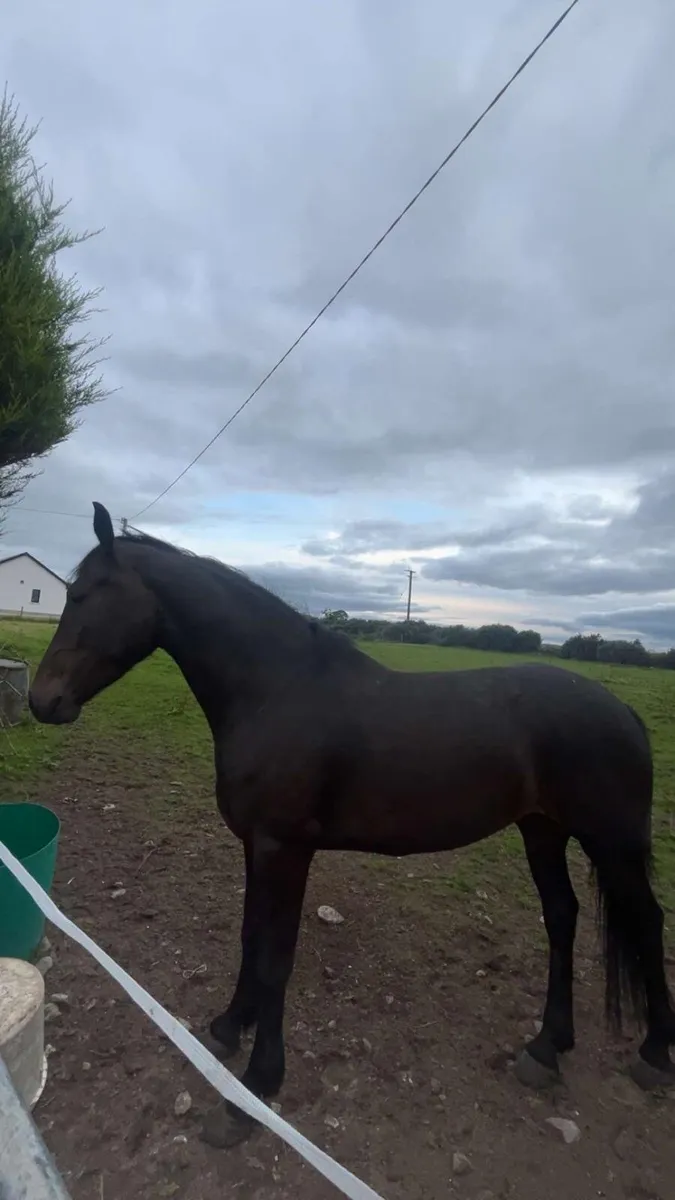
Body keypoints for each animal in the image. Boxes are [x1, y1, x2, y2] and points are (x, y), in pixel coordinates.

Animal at [29, 502, 675, 1148]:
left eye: (81, 595)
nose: (42, 701)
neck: (276, 690)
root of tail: (622, 710)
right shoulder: (256, 846)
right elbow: (250, 937)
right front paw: (229, 1027)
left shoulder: (286, 849)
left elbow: (275, 957)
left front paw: (255, 1088)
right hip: (542, 830)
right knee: (562, 916)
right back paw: (547, 1048)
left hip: (610, 842)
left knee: (645, 921)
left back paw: (653, 1053)